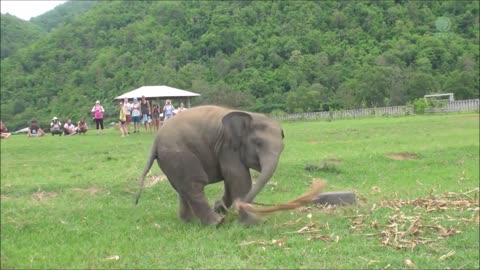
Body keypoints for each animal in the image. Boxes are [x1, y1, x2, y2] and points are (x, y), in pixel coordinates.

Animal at [134, 105, 284, 226]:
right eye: (259, 143)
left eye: (282, 149)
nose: (235, 208)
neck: (250, 115)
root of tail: (155, 141)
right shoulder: (227, 147)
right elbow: (239, 178)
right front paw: (254, 223)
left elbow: (231, 180)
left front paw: (221, 207)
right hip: (178, 154)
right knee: (194, 185)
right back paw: (217, 223)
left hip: (170, 160)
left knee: (182, 189)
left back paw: (190, 222)